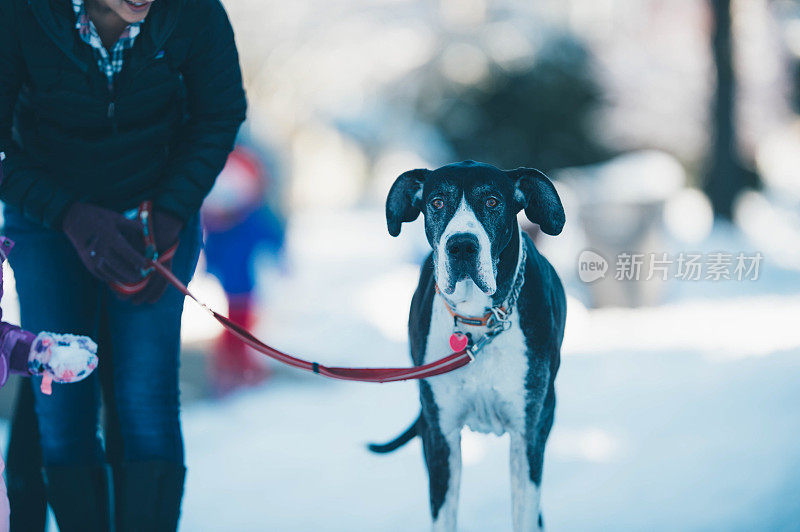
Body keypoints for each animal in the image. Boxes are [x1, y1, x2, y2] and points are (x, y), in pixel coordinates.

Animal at [372, 160, 564, 528]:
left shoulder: (529, 431)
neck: (479, 324)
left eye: (491, 201)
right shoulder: (440, 435)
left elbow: (525, 514)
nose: (462, 245)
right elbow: (443, 514)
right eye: (436, 202)